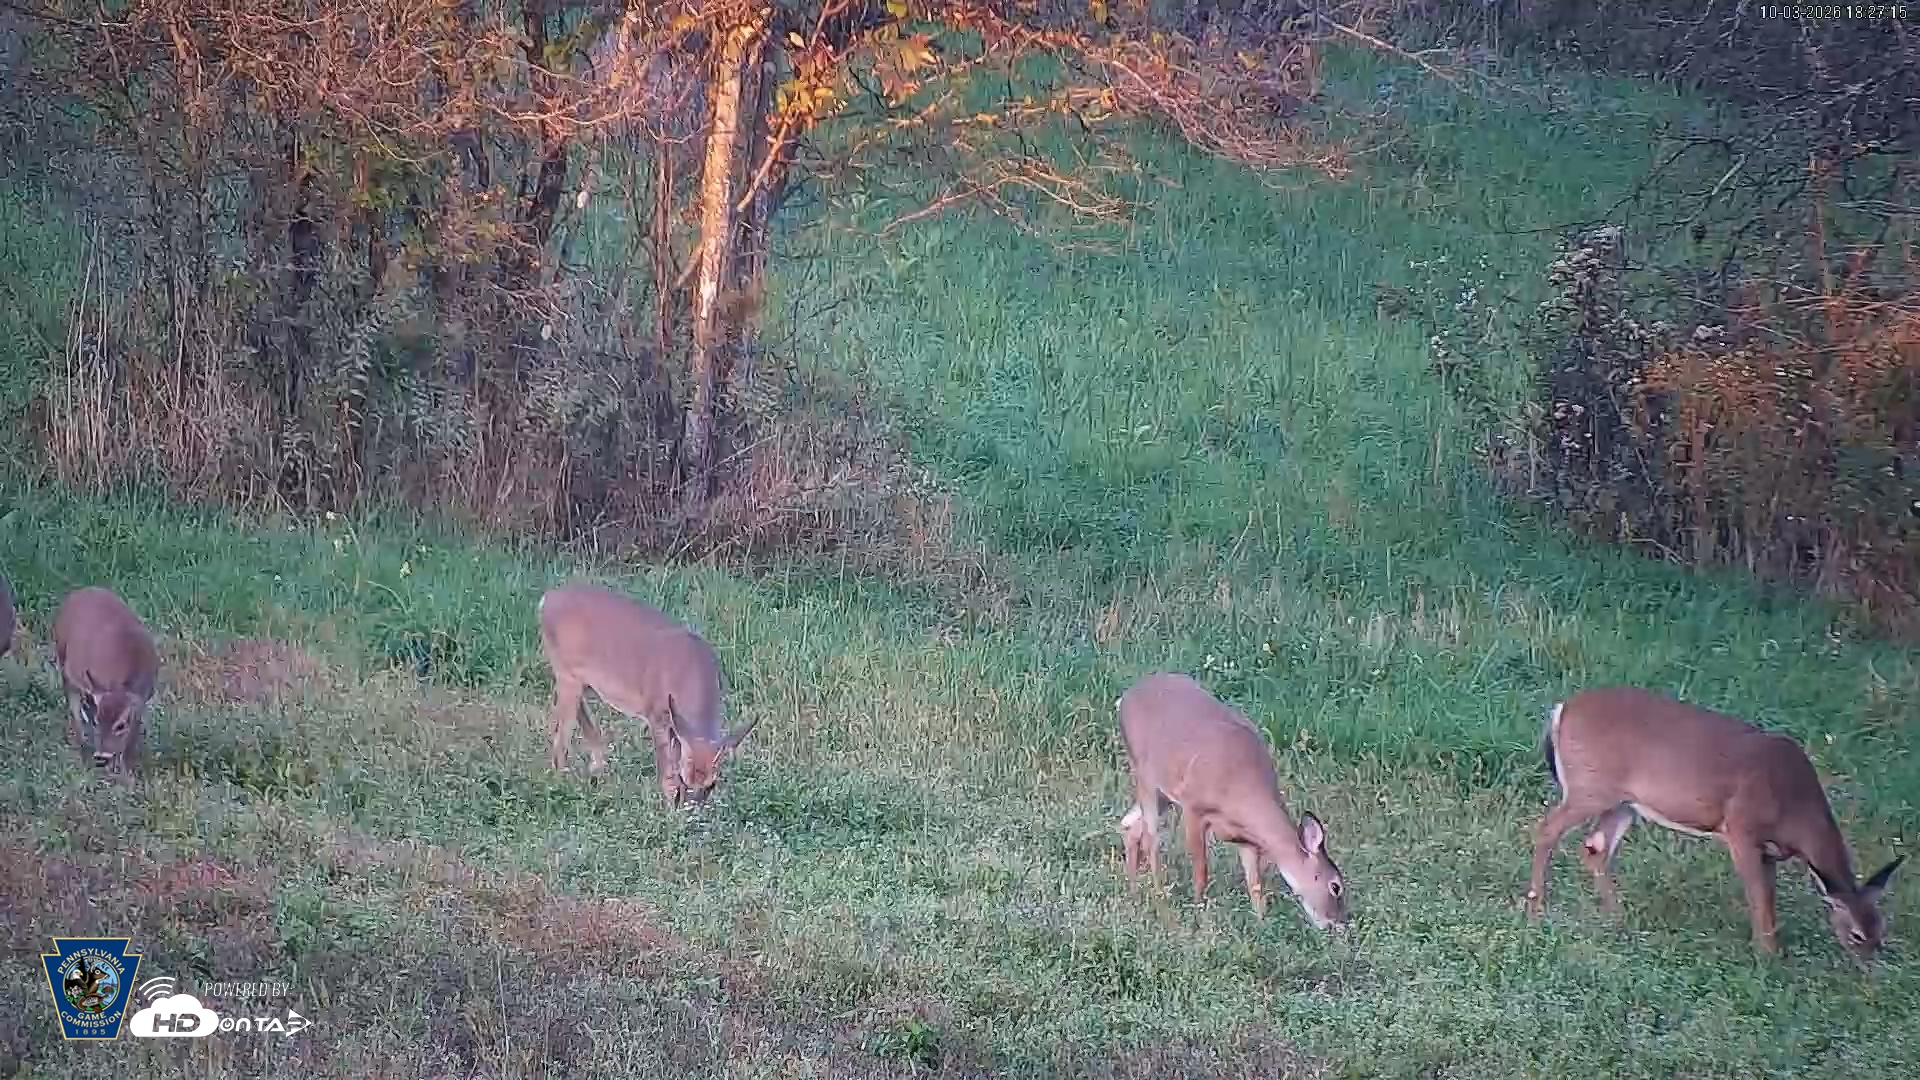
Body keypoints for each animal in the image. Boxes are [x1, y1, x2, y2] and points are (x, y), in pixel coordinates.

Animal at [52, 586, 160, 783]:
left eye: (120, 725)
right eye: (97, 721)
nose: (102, 757)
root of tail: (77, 593)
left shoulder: (142, 699)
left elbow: (132, 735)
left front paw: (126, 771)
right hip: (63, 661)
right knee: (74, 707)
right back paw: (83, 749)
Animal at [537, 583, 757, 807]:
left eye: (711, 785)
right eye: (685, 779)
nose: (690, 805)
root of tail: (547, 598)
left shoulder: (675, 721)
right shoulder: (656, 712)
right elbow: (665, 765)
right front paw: (668, 800)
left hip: (574, 676)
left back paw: (596, 766)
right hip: (565, 673)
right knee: (562, 733)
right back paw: (565, 779)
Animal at [1116, 672, 1349, 929]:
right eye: (1335, 887)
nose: (1341, 923)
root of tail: (1126, 696)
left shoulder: (1246, 840)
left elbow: (1255, 885)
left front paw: (1261, 923)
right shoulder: (1194, 807)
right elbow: (1201, 871)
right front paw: (1198, 913)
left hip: (1162, 794)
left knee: (1129, 825)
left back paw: (1134, 891)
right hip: (1146, 776)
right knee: (1151, 839)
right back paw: (1160, 899)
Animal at [1526, 685, 1905, 964]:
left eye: (1881, 930)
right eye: (1856, 934)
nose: (1870, 967)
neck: (1795, 809)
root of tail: (1561, 709)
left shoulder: (1768, 851)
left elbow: (1768, 896)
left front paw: (1771, 948)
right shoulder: (1741, 829)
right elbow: (1758, 895)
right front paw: (1767, 956)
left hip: (1622, 802)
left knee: (1595, 848)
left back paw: (1617, 916)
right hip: (1590, 787)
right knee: (1547, 829)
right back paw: (1537, 905)